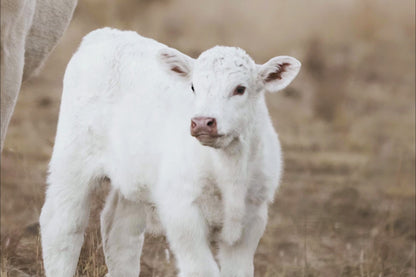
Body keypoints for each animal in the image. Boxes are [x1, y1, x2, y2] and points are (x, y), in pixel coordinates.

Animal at [39, 28, 300, 276]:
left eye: (240, 89)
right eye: (194, 87)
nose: (202, 122)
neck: (229, 170)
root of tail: (104, 34)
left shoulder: (253, 215)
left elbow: (239, 271)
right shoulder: (181, 209)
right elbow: (201, 270)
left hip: (132, 176)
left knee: (120, 232)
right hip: (72, 159)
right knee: (62, 226)